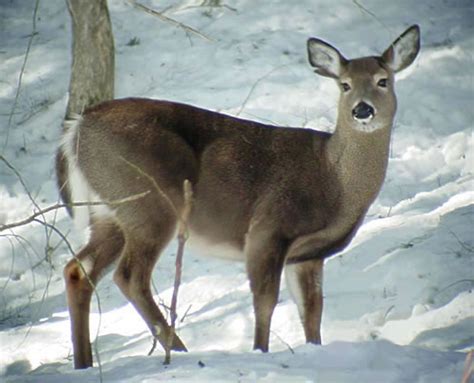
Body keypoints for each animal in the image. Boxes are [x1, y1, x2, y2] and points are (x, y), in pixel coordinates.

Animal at [57, 24, 420, 368]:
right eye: (344, 85)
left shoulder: (308, 254)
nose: (362, 110)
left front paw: (313, 350)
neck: (334, 181)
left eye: (383, 81)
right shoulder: (269, 228)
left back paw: (85, 363)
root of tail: (77, 128)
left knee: (79, 270)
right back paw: (179, 350)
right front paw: (260, 350)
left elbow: (312, 311)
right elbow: (265, 300)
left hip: (109, 213)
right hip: (148, 202)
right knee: (129, 276)